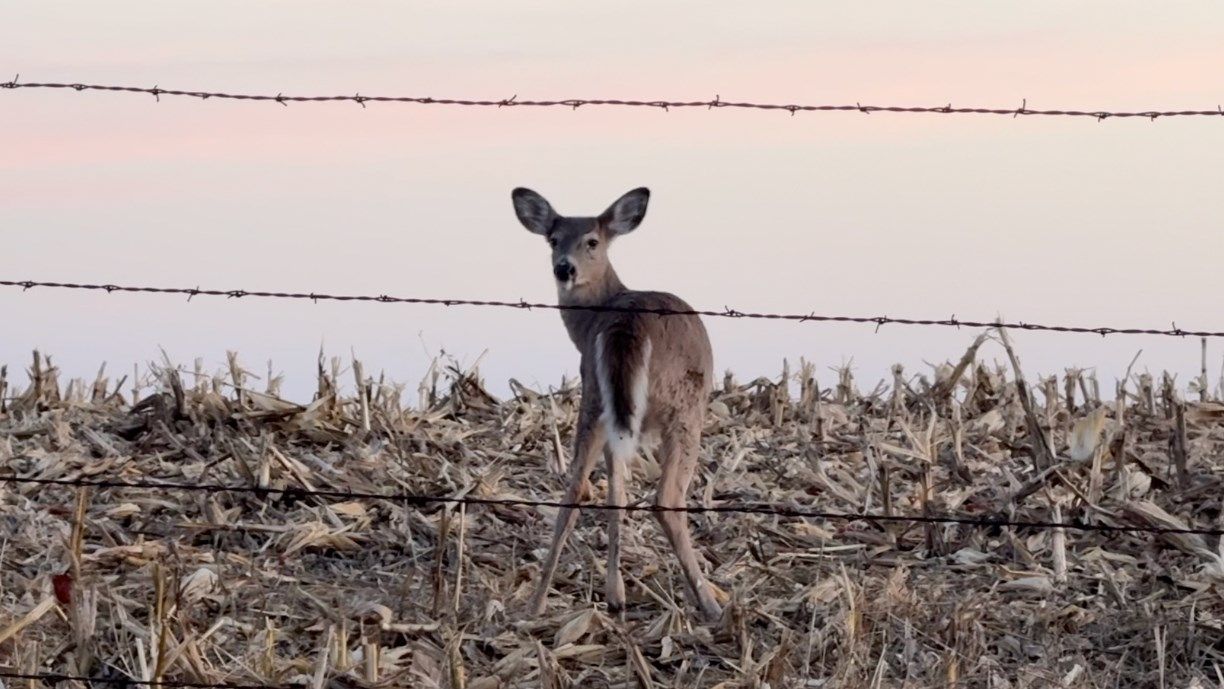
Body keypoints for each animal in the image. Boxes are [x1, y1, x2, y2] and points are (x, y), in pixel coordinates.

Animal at [510, 186, 723, 621]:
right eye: (553, 239)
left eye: (591, 241)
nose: (564, 268)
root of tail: (627, 324)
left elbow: (615, 494)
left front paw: (615, 593)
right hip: (683, 408)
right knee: (667, 499)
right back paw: (711, 603)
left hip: (596, 397)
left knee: (574, 487)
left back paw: (536, 603)